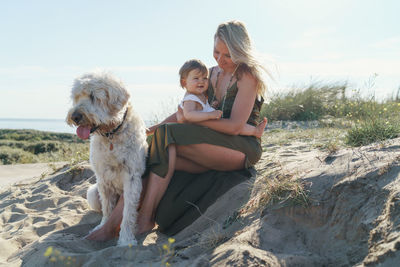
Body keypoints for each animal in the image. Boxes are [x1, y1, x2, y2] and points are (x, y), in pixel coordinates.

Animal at [66, 71, 148, 247]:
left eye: (93, 96)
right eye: (76, 96)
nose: (75, 116)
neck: (111, 134)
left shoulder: (132, 177)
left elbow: (128, 211)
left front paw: (126, 239)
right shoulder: (103, 177)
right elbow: (107, 208)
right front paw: (103, 227)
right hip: (92, 192)